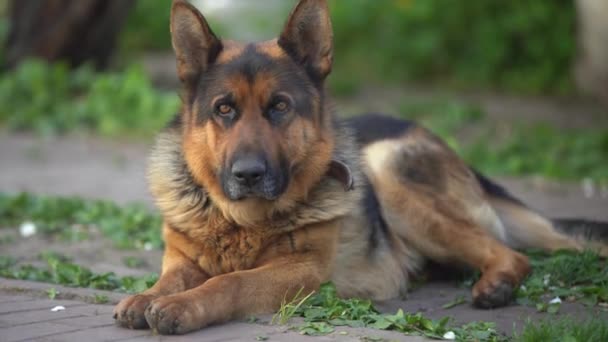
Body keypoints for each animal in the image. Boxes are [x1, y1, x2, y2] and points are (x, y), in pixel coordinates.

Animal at [114, 0, 608, 334]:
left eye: (279, 107)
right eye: (223, 109)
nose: (248, 174)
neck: (239, 221)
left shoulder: (300, 271)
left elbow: (228, 283)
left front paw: (182, 306)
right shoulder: (181, 259)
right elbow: (171, 279)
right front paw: (147, 296)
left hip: (389, 171)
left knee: (511, 253)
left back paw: (495, 286)